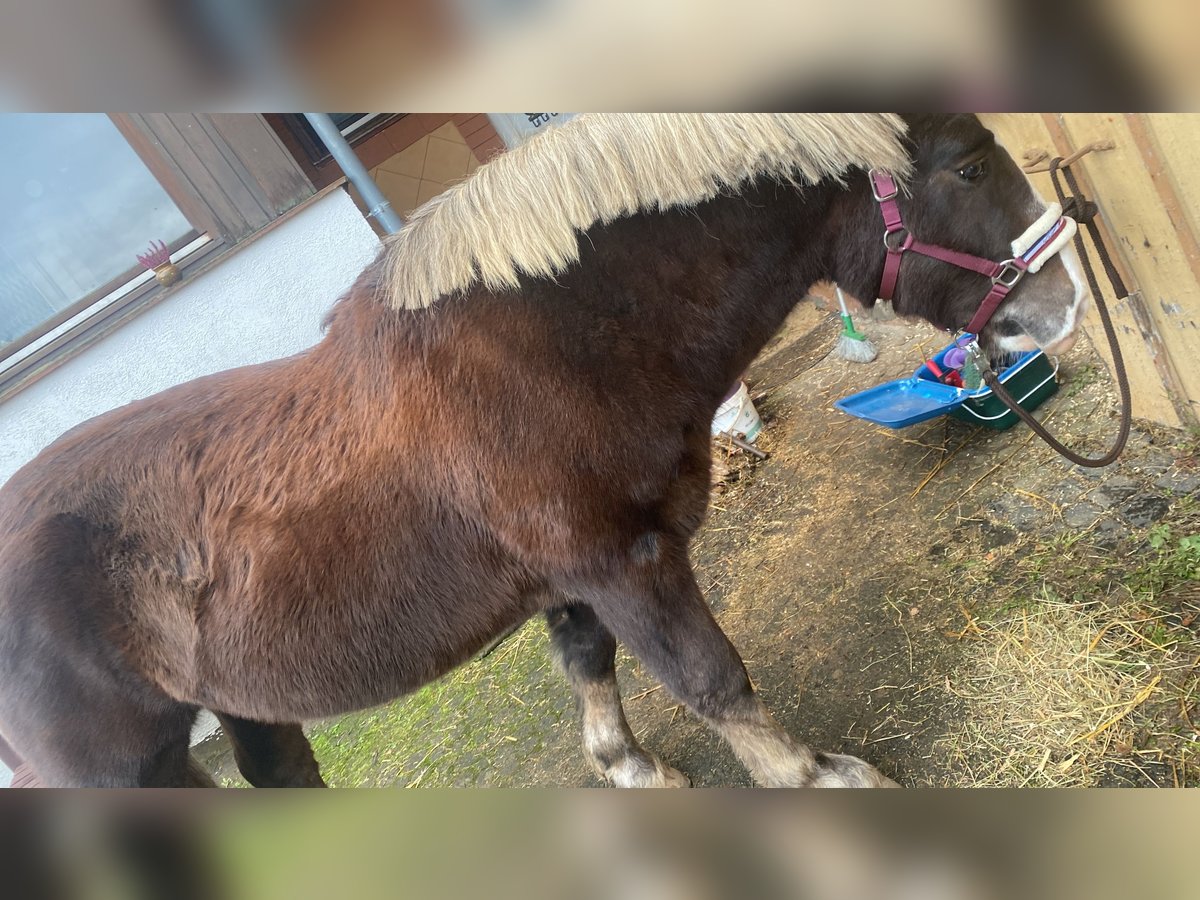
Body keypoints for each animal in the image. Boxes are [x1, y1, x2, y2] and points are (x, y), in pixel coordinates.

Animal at [0, 114, 1089, 787]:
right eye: (966, 167)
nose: (1063, 300)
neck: (550, 352)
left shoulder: (577, 574)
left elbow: (588, 661)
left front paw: (629, 767)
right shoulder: (627, 561)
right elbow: (711, 678)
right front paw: (816, 776)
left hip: (244, 707)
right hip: (122, 764)